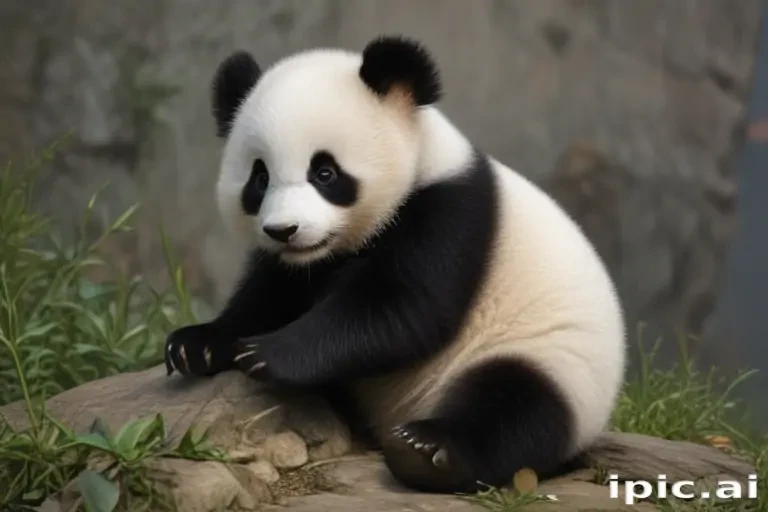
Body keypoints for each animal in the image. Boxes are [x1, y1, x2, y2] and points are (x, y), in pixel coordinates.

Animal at [164, 34, 626, 494]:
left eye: (325, 172)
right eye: (259, 179)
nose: (284, 230)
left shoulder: (447, 214)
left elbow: (402, 311)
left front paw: (269, 353)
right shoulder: (297, 264)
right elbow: (267, 297)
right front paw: (197, 345)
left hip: (551, 360)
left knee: (514, 406)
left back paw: (426, 451)